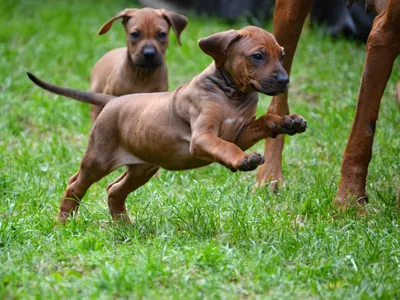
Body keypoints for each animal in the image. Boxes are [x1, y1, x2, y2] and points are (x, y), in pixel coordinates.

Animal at [28, 25, 308, 224]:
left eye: (282, 55)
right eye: (257, 56)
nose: (284, 80)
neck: (232, 94)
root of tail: (113, 101)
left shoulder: (241, 132)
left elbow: (265, 122)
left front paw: (288, 122)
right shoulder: (204, 137)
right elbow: (225, 147)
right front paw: (244, 159)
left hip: (143, 167)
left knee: (115, 190)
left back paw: (125, 227)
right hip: (98, 158)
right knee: (75, 184)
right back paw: (63, 223)